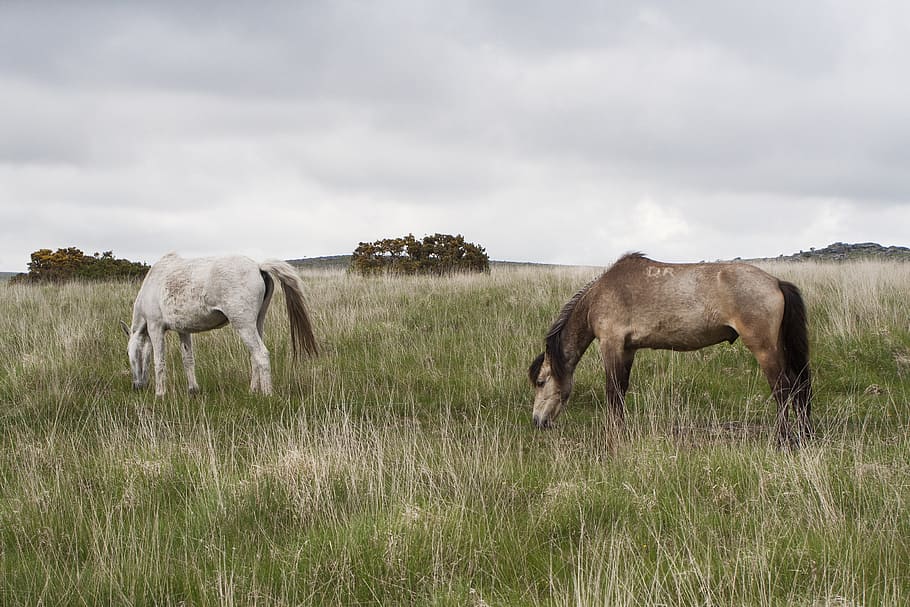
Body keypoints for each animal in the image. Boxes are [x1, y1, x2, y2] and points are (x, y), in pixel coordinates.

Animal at [120, 253, 318, 396]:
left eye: (129, 353)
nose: (136, 386)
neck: (153, 284)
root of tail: (258, 267)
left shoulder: (155, 328)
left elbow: (159, 361)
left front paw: (160, 394)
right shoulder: (183, 331)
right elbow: (188, 359)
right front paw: (193, 389)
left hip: (244, 325)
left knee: (261, 354)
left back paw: (267, 394)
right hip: (257, 324)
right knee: (254, 356)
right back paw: (253, 390)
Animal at [528, 253, 812, 445]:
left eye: (541, 381)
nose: (537, 421)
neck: (599, 295)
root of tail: (775, 282)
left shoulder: (611, 344)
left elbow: (613, 392)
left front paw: (613, 434)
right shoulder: (627, 349)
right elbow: (621, 389)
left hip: (764, 348)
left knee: (783, 389)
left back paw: (782, 439)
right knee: (798, 384)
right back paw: (804, 434)